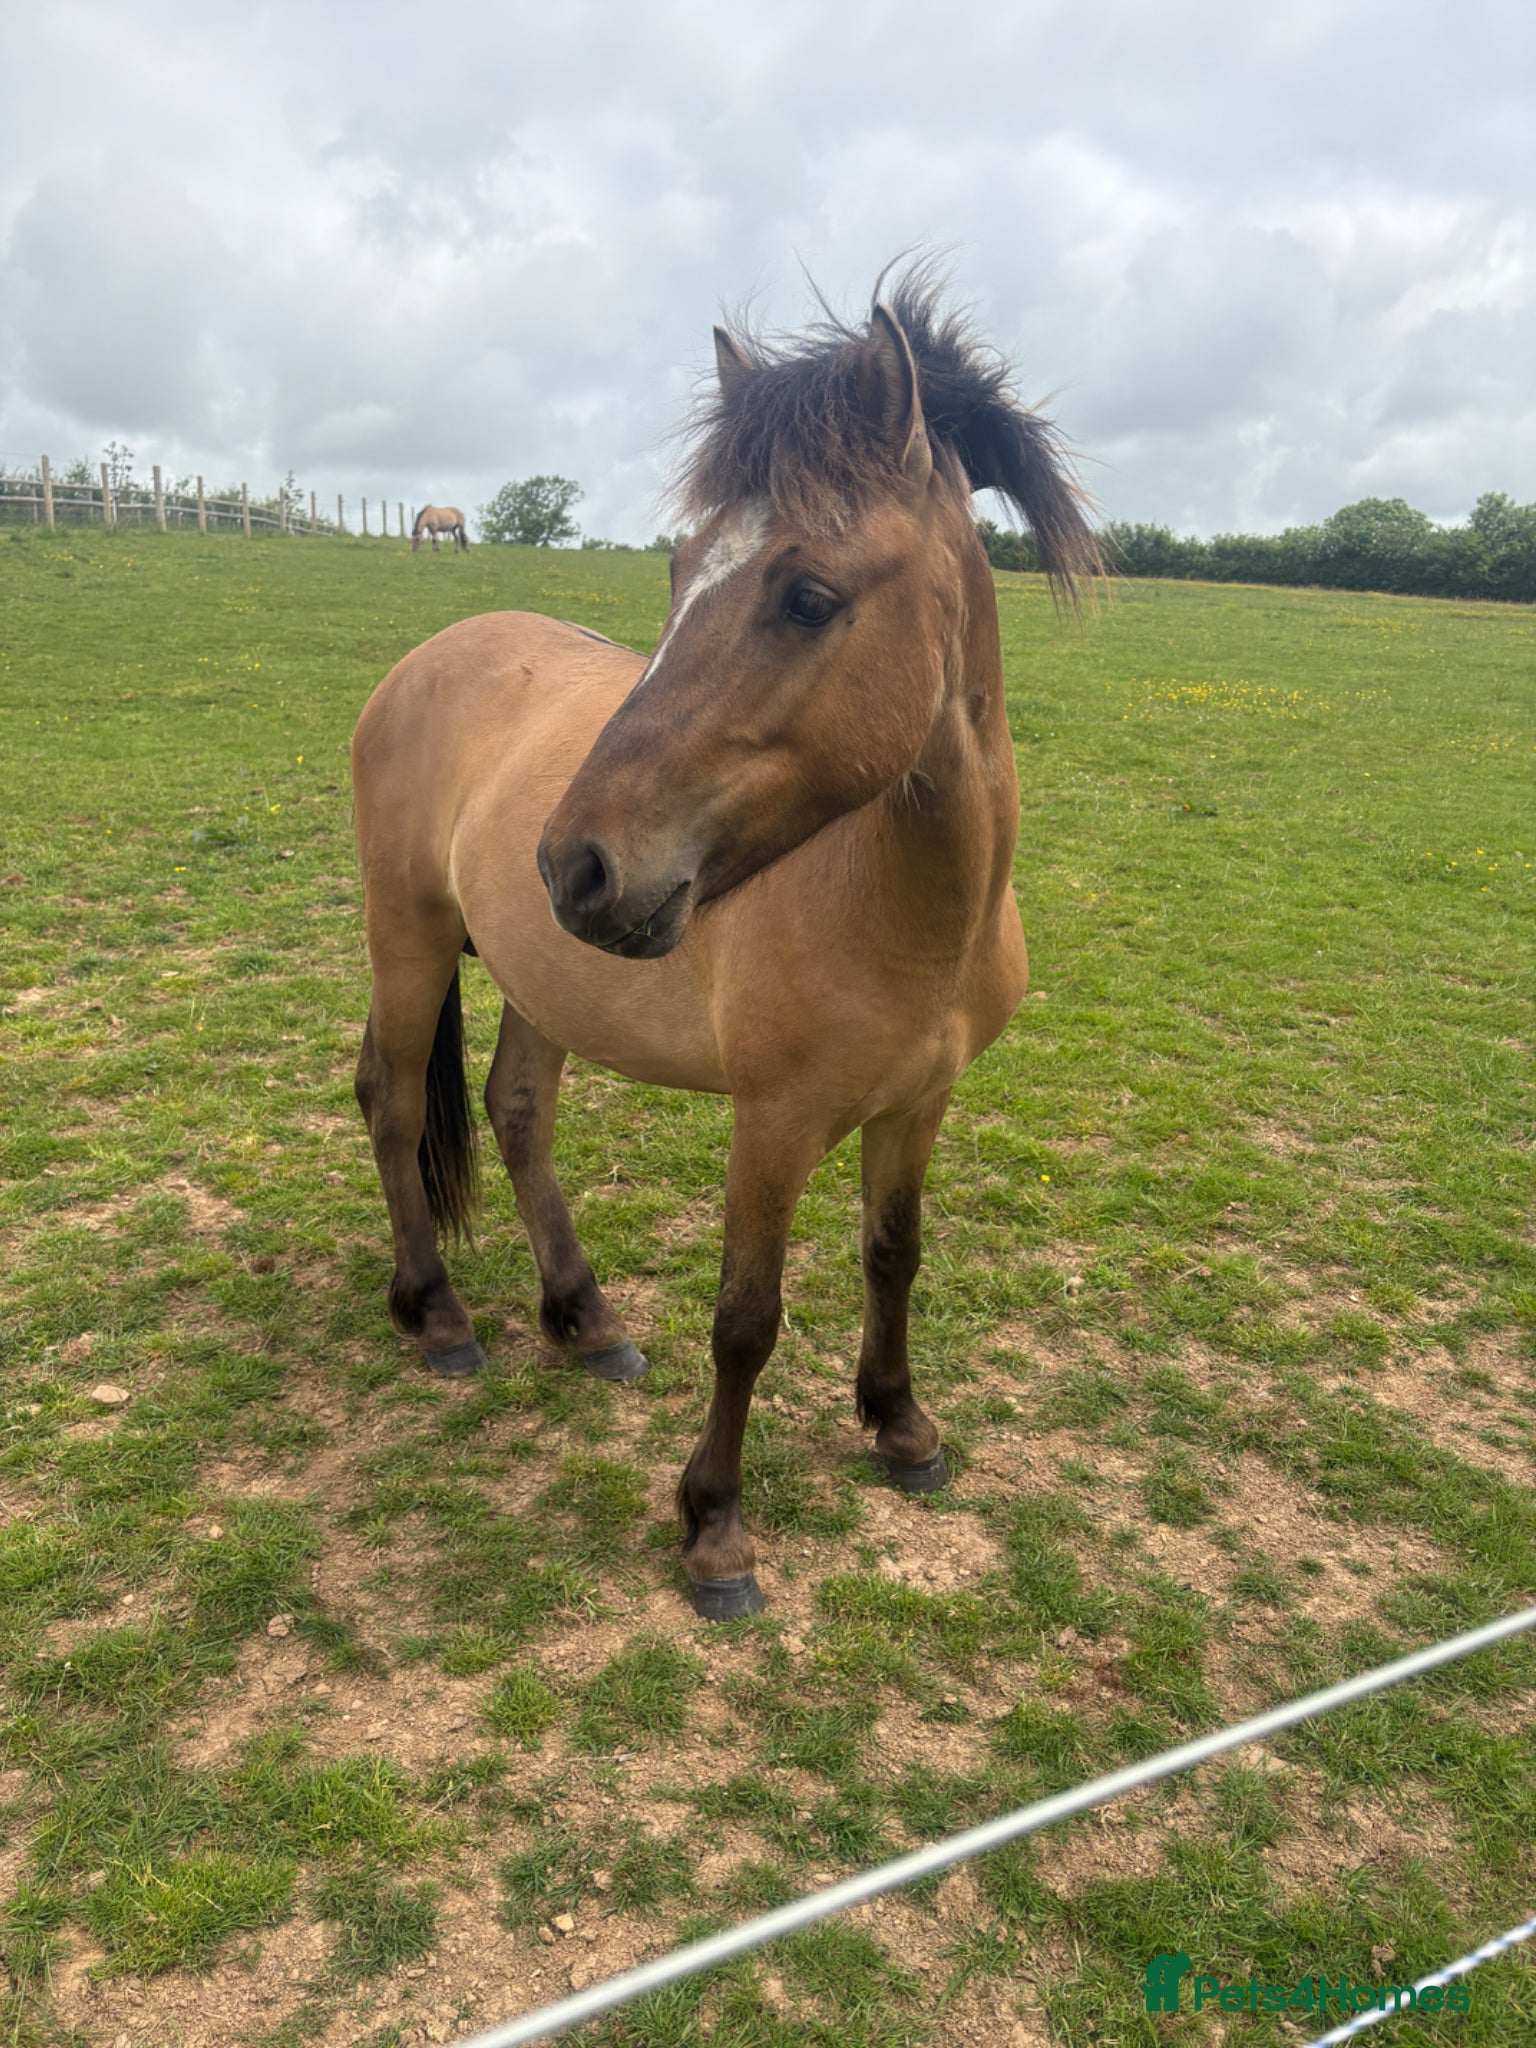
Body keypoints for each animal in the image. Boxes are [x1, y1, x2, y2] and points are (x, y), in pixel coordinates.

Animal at [352, 272, 1101, 1620]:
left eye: (808, 595)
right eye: (680, 569)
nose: (575, 864)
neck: (903, 902)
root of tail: (431, 655)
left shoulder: (918, 1104)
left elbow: (895, 1256)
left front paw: (901, 1426)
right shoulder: (777, 1120)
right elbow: (747, 1317)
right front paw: (715, 1527)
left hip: (542, 981)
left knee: (517, 1108)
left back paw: (586, 1317)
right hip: (412, 939)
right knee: (390, 1096)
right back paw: (436, 1315)